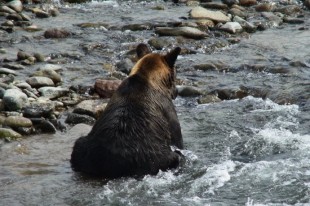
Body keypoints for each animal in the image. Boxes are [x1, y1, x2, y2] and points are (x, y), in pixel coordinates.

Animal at [69, 43, 184, 179]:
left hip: (80, 148)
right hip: (161, 159)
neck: (148, 77)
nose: (176, 92)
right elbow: (178, 140)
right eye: (175, 75)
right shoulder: (170, 115)